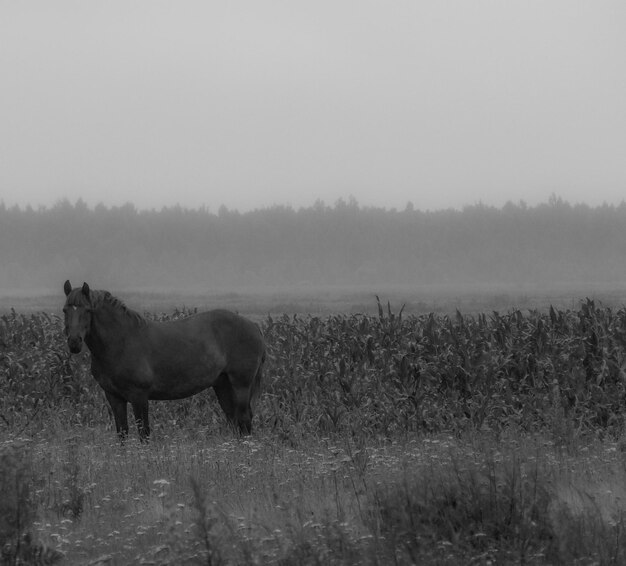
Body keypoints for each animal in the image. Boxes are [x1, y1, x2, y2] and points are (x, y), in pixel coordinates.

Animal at [63, 282, 266, 442]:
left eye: (87, 310)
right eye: (65, 310)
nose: (74, 342)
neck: (121, 341)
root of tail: (254, 326)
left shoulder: (139, 396)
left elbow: (143, 433)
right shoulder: (114, 397)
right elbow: (122, 433)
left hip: (241, 384)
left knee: (244, 419)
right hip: (222, 384)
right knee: (234, 419)